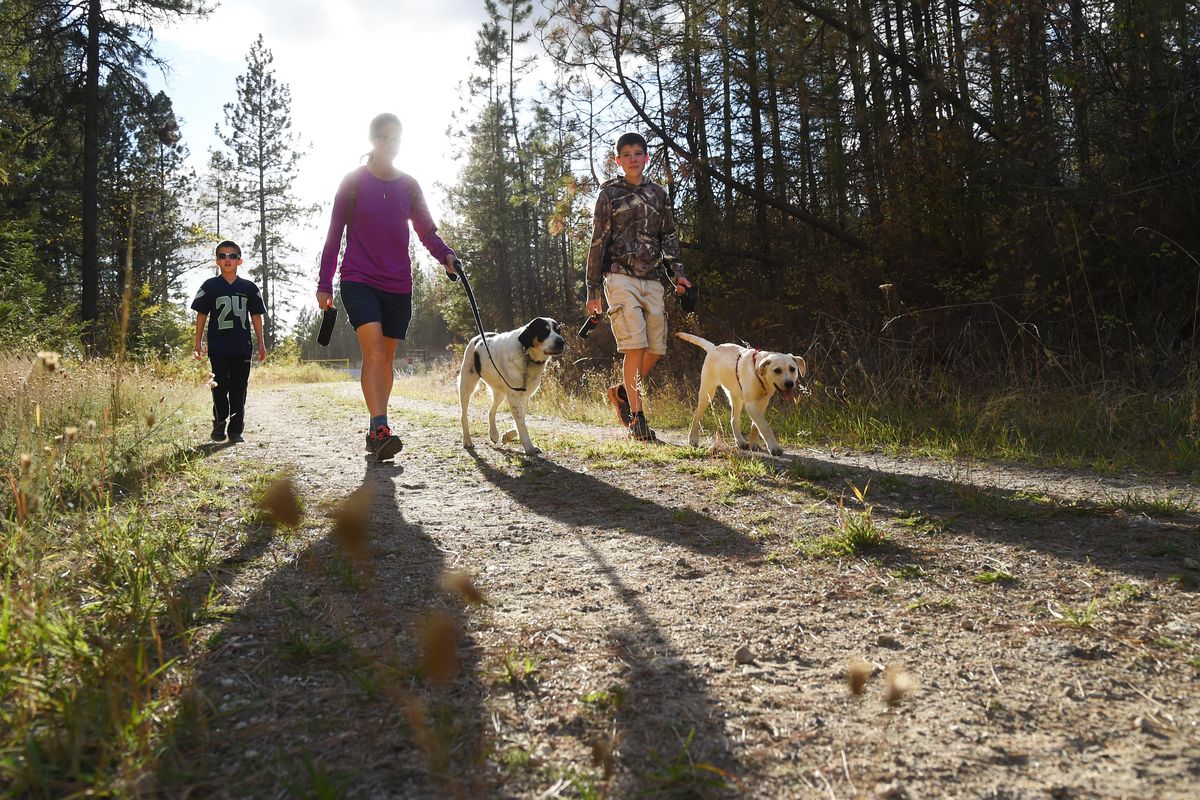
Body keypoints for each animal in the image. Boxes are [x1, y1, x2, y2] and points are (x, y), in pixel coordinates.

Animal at [460, 319, 568, 455]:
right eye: (543, 331)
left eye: (558, 331)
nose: (561, 341)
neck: (527, 356)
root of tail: (478, 337)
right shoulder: (514, 396)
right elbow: (521, 424)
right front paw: (529, 447)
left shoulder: (525, 396)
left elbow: (521, 420)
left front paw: (507, 436)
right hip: (466, 385)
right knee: (463, 415)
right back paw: (467, 440)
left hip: (499, 392)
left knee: (491, 411)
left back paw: (493, 434)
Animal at [676, 331, 806, 455]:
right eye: (777, 370)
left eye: (792, 369)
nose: (789, 383)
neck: (759, 374)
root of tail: (714, 347)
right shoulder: (751, 405)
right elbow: (765, 427)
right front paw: (774, 448)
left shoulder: (762, 403)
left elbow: (756, 426)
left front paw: (753, 444)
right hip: (707, 392)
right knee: (697, 415)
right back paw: (693, 438)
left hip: (736, 398)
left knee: (734, 419)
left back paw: (740, 441)